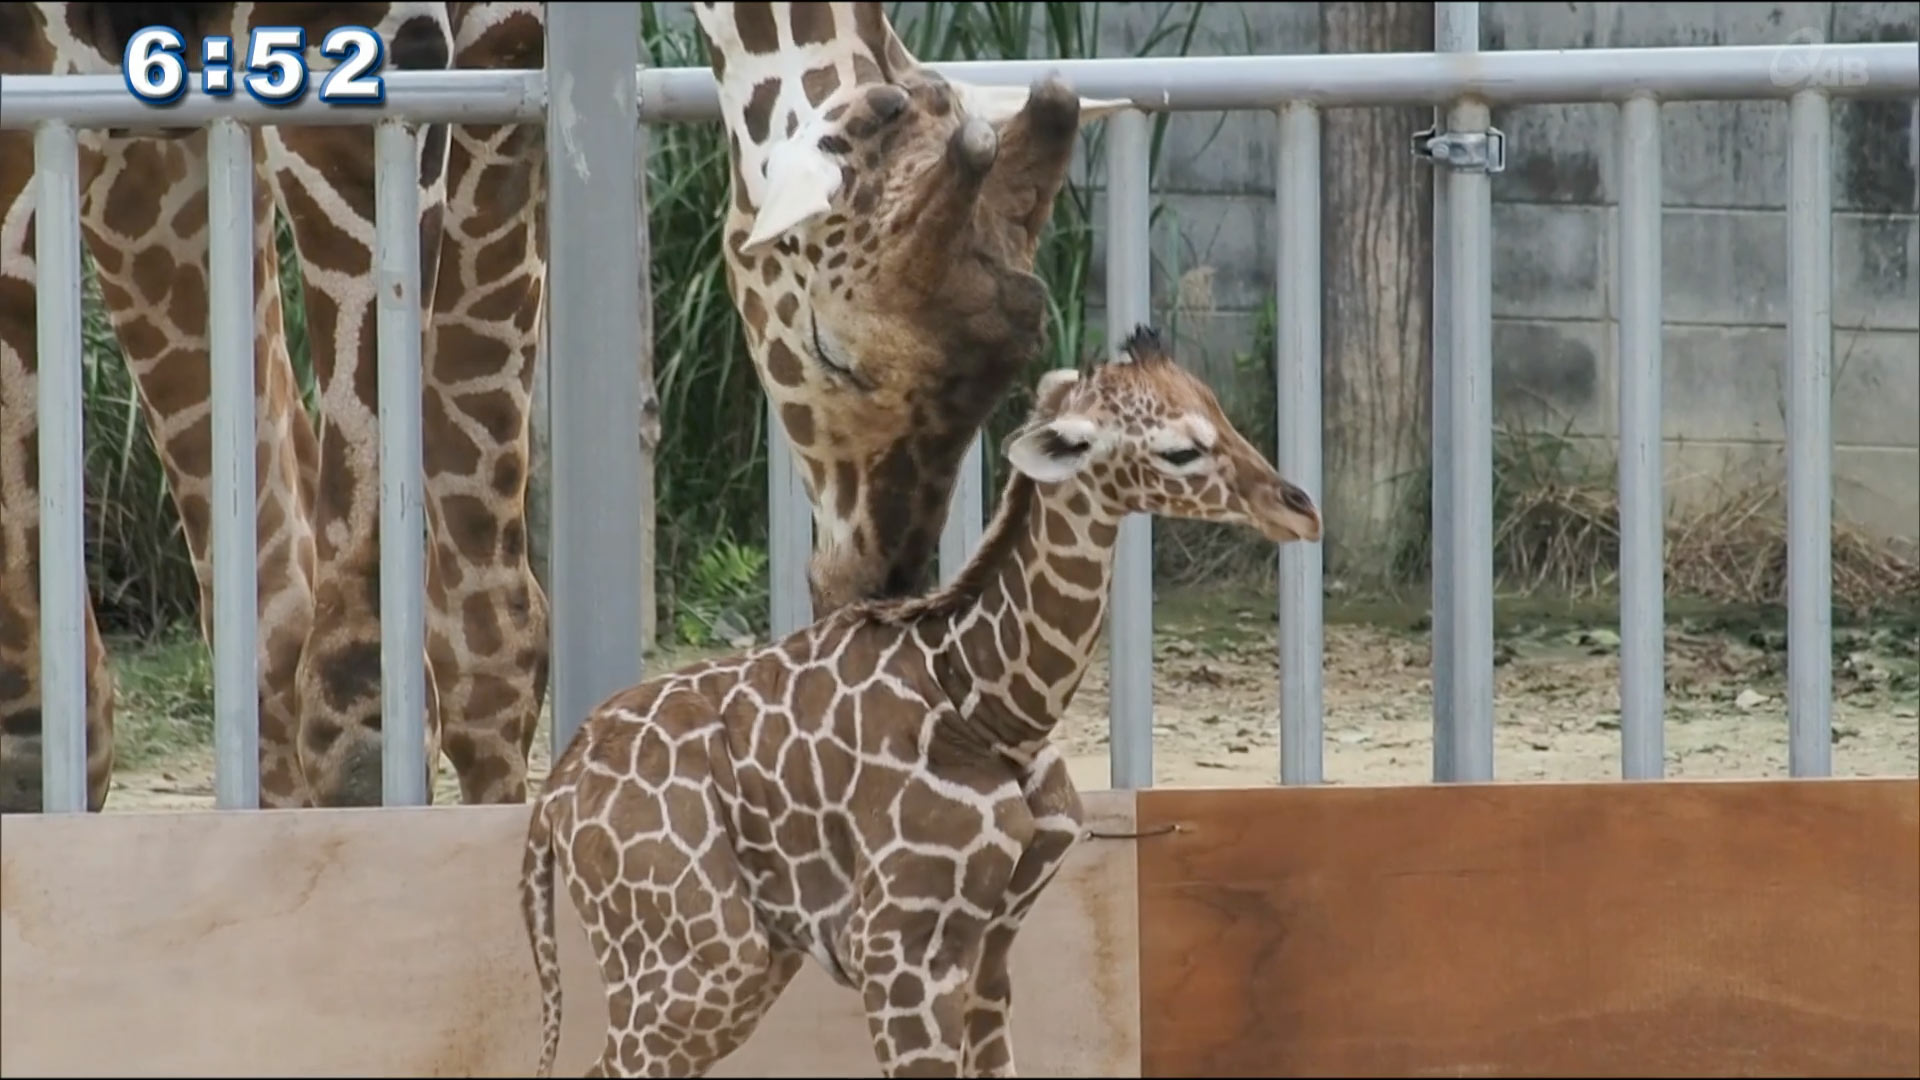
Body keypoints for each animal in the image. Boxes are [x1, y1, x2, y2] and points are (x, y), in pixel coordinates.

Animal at [518, 322, 1328, 1068]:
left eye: (1217, 409)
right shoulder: (900, 947)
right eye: (1180, 450)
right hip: (698, 959)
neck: (991, 705)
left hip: (731, 964)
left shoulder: (992, 949)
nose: (1299, 508)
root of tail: (555, 795)